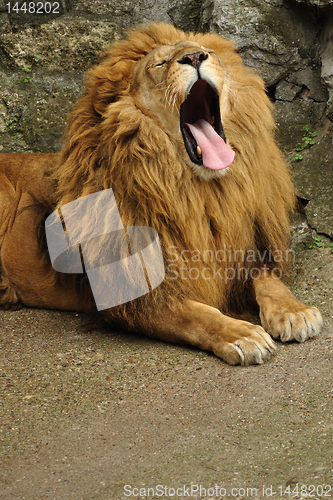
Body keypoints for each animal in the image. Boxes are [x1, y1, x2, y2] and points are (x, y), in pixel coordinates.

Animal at [0, 22, 322, 364]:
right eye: (159, 64)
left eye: (207, 52)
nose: (194, 57)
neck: (201, 193)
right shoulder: (136, 291)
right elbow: (196, 315)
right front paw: (240, 333)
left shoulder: (247, 251)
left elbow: (270, 281)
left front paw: (294, 311)